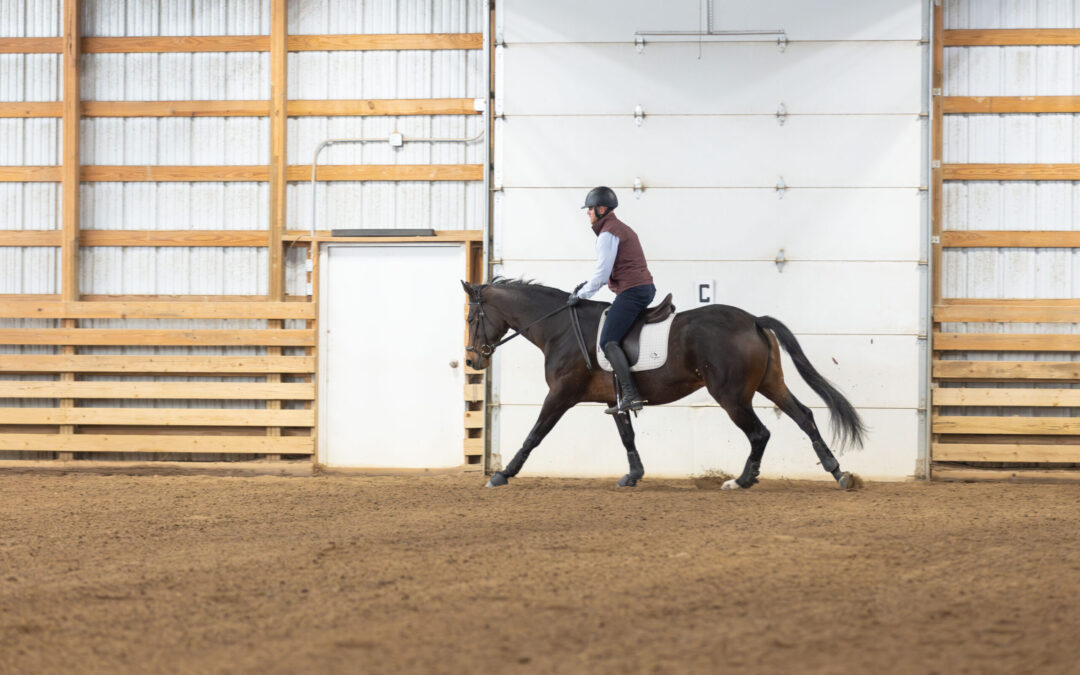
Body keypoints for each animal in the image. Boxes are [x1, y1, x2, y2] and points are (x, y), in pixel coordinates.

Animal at [462, 278, 865, 490]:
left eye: (471, 318)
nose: (472, 361)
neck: (559, 328)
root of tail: (752, 320)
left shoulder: (561, 393)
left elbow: (535, 433)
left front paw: (502, 474)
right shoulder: (612, 398)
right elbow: (627, 436)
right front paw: (633, 475)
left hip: (732, 395)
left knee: (760, 433)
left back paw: (742, 480)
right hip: (770, 384)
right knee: (804, 416)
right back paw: (838, 472)